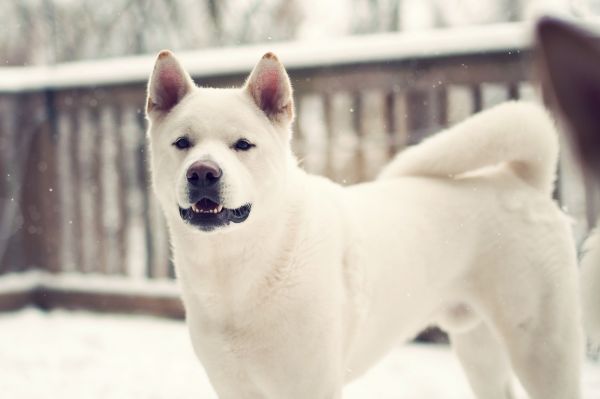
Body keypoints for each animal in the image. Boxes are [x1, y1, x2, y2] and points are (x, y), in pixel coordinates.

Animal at [144, 50, 580, 399]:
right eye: (182, 143)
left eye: (243, 145)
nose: (203, 173)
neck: (236, 272)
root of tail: (522, 181)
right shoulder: (233, 386)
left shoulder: (312, 386)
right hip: (479, 347)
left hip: (542, 350)